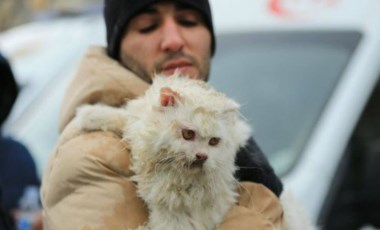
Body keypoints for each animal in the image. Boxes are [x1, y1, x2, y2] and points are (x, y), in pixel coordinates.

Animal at [75, 74, 251, 229]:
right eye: (188, 134)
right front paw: (89, 114)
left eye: (213, 141)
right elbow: (122, 117)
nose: (202, 156)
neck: (178, 178)